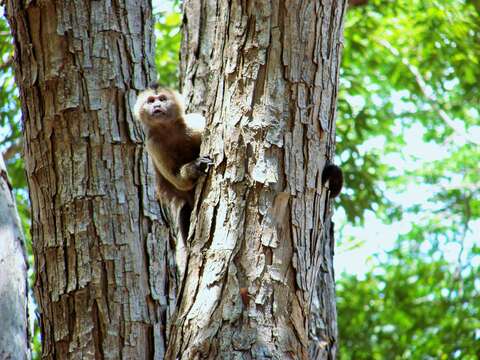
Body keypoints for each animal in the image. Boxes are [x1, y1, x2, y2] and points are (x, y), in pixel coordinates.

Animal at [134, 83, 211, 240]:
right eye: (151, 101)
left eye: (162, 99)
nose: (157, 105)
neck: (168, 130)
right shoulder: (153, 145)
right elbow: (181, 183)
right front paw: (195, 167)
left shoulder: (193, 123)